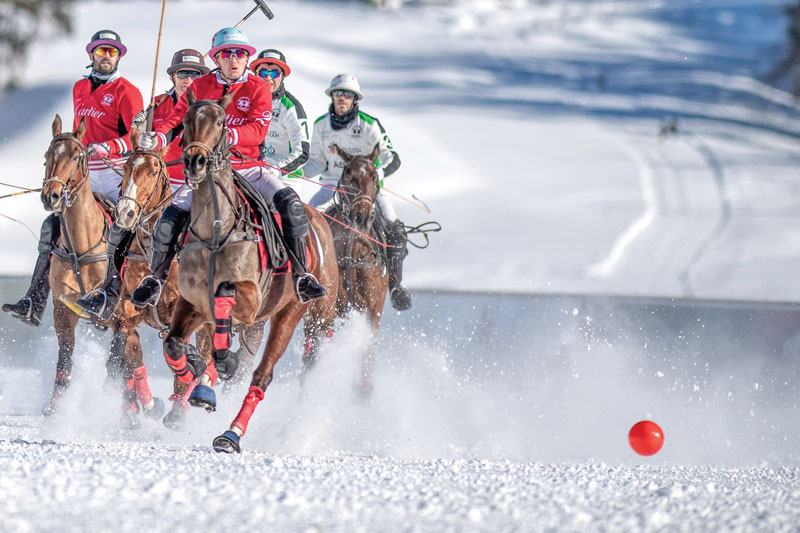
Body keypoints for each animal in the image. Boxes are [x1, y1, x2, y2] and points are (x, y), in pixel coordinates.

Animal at [169, 91, 338, 454]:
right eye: (186, 121)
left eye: (221, 122)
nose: (195, 162)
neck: (217, 229)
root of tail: (318, 219)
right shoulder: (190, 302)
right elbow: (174, 344)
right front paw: (194, 372)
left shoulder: (250, 300)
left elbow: (224, 295)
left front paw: (212, 369)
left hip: (292, 312)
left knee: (261, 374)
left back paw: (231, 434)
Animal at [324, 143, 390, 396]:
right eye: (348, 175)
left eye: (374, 177)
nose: (361, 218)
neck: (352, 254)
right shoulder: (333, 308)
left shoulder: (373, 309)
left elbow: (367, 351)